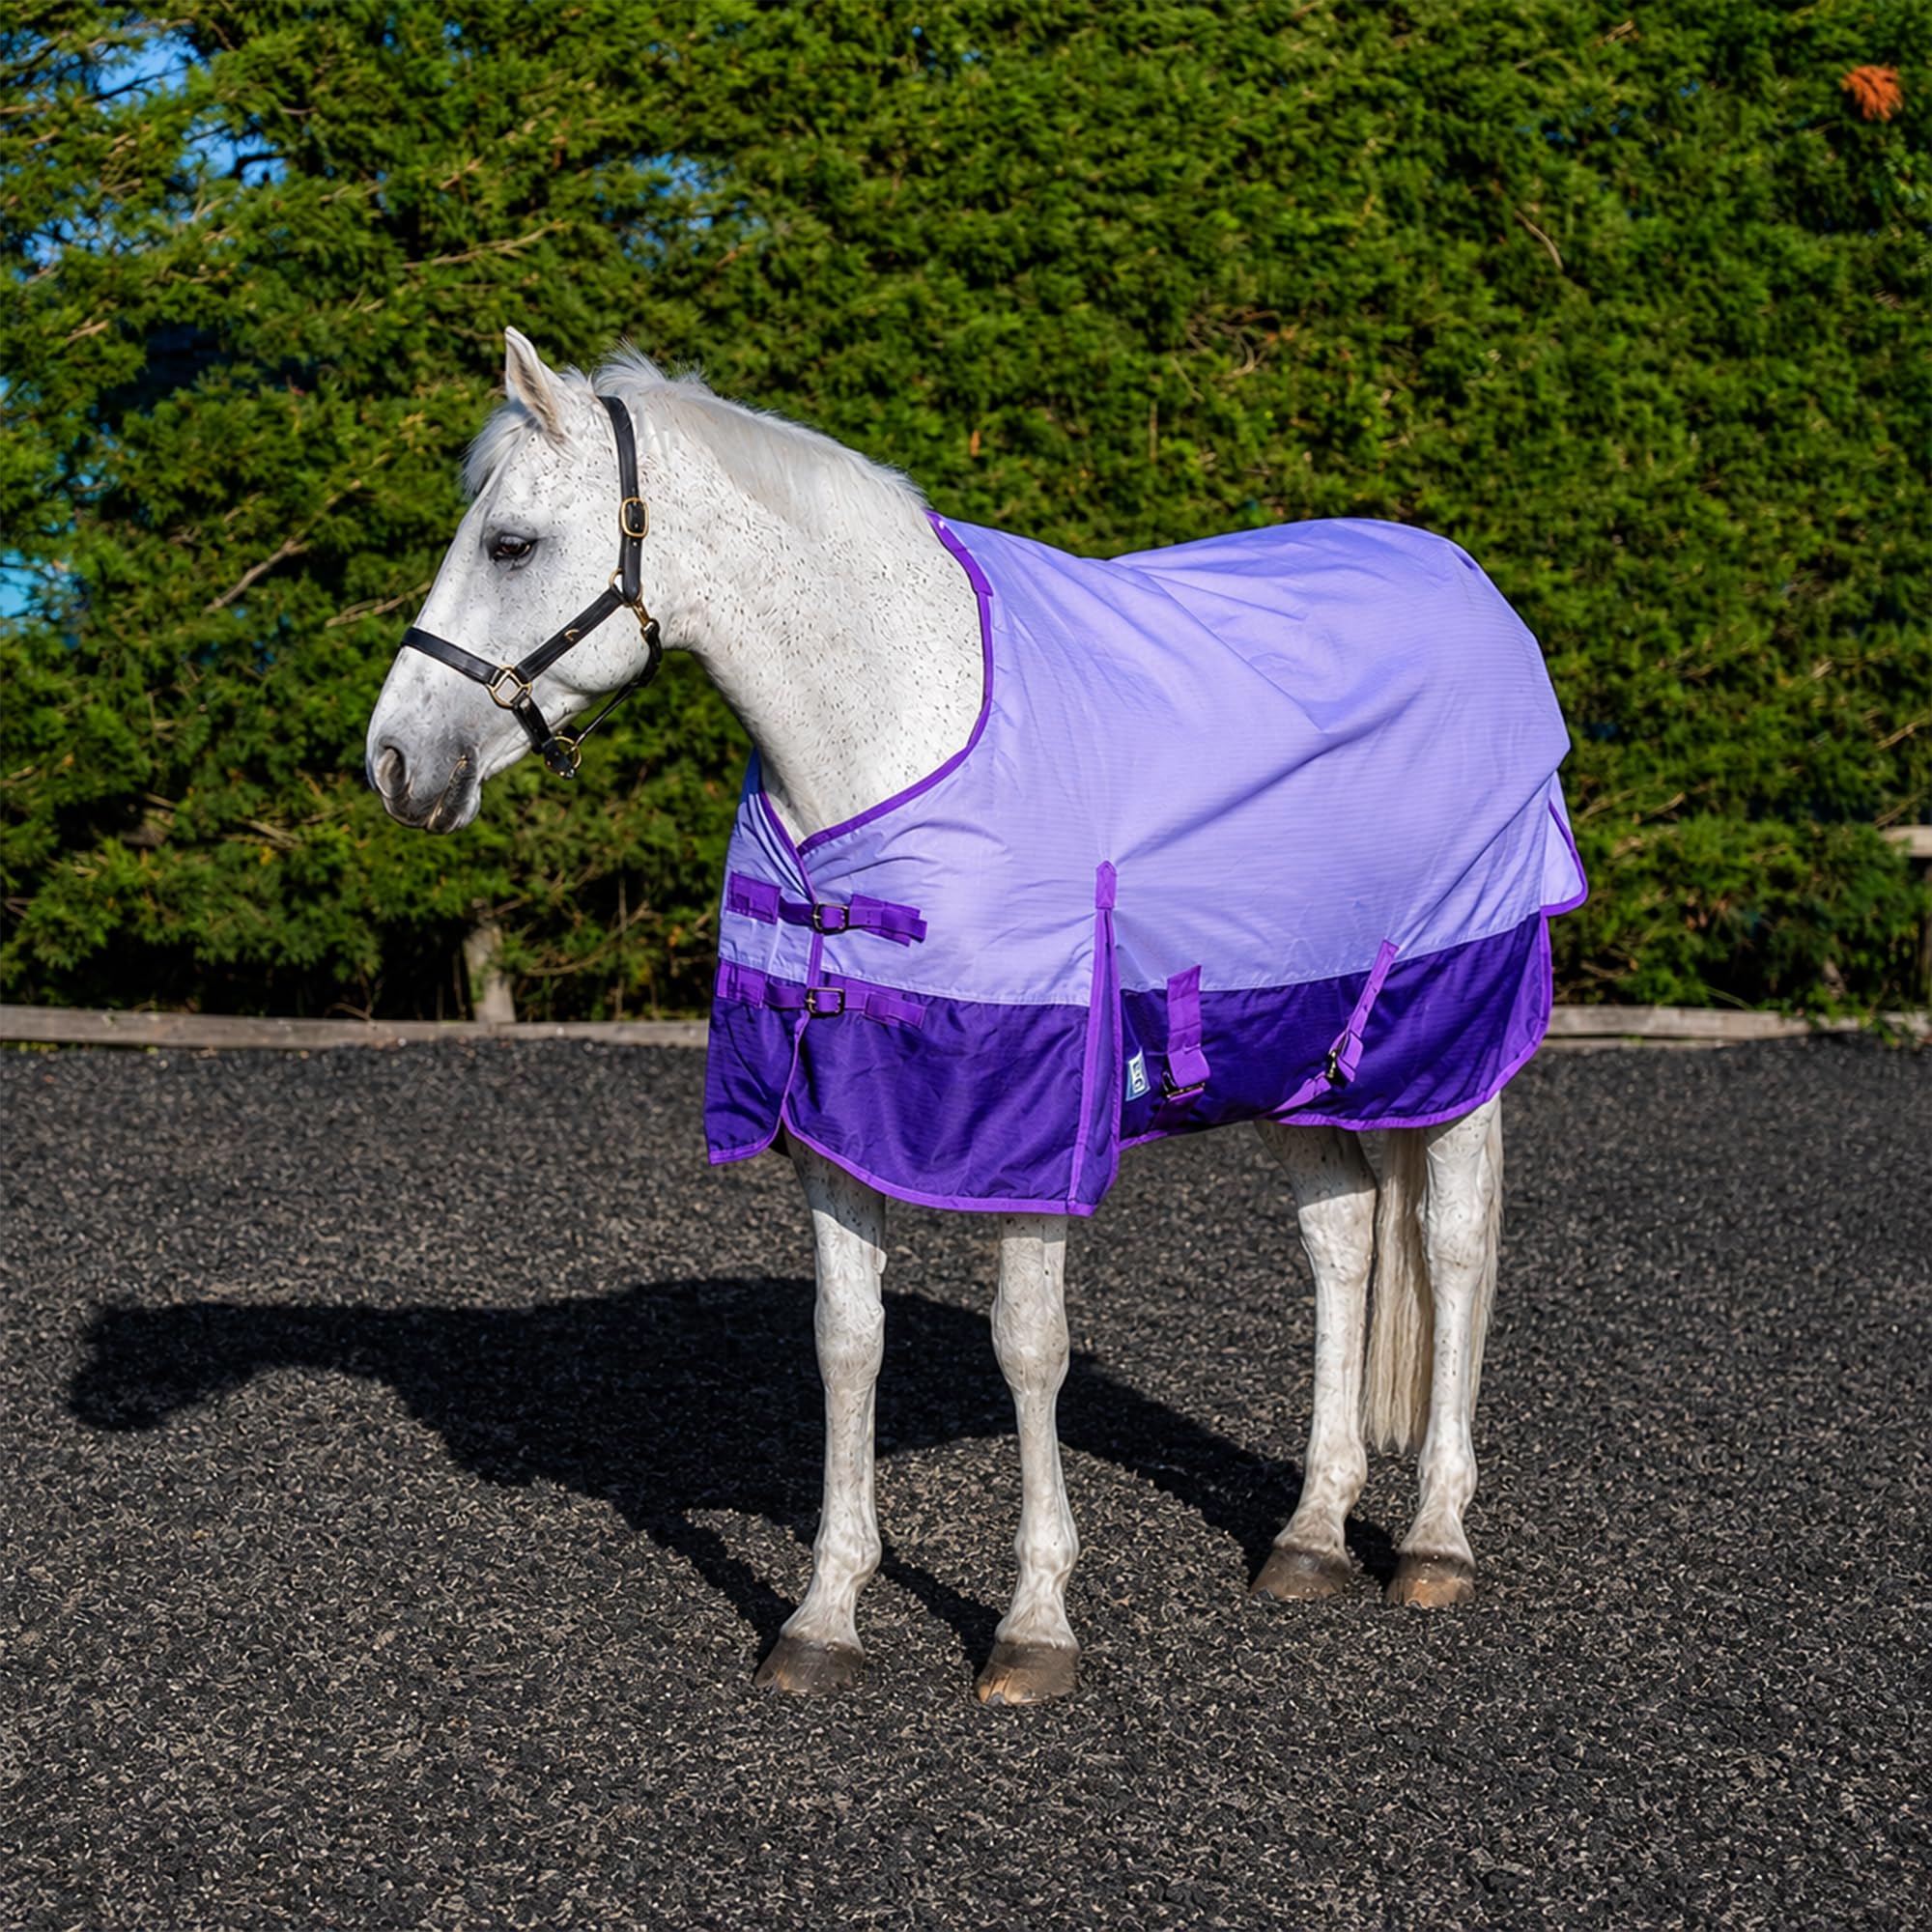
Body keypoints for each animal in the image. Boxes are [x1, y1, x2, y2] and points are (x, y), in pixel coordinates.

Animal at [365, 329, 1586, 1705]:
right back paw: (1311, 1535)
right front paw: (824, 1614)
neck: (897, 729)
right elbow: (847, 1341)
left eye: (510, 543)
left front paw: (1034, 1622)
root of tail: (1462, 581)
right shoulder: (831, 1115)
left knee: (1452, 1243)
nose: (393, 762)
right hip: (1294, 1046)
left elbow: (1028, 1346)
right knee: (1340, 1242)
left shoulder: (1028, 1118)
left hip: (1451, 1035)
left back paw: (1432, 1540)